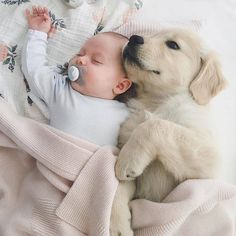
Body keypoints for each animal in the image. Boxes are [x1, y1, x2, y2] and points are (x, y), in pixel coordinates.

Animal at [109, 28, 226, 235]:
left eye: (173, 45)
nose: (133, 38)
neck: (156, 102)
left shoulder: (211, 164)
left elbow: (155, 125)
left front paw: (127, 161)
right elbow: (119, 187)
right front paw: (118, 225)